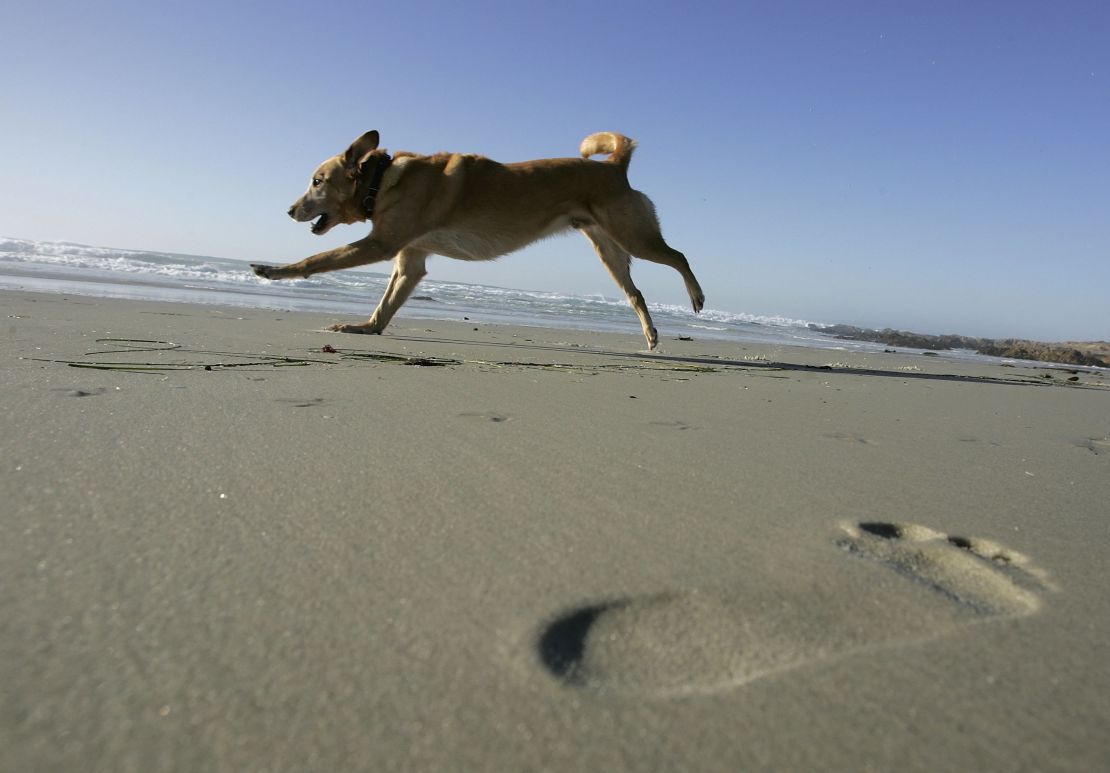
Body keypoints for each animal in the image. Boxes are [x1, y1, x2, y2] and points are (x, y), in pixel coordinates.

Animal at [250, 131, 701, 348]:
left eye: (317, 181)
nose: (289, 210)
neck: (382, 179)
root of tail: (614, 166)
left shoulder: (382, 244)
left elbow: (318, 259)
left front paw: (273, 270)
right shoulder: (410, 261)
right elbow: (385, 306)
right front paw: (365, 328)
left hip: (633, 235)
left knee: (679, 255)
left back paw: (696, 296)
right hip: (609, 251)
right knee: (637, 292)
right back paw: (650, 334)